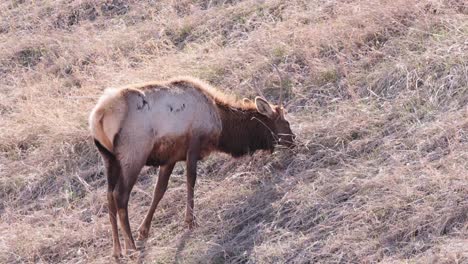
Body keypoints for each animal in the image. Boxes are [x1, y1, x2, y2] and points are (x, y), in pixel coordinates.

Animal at [88, 76, 294, 256]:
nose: (293, 140)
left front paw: (144, 230)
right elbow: (191, 179)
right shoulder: (194, 143)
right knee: (120, 196)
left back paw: (116, 252)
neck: (222, 126)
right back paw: (130, 248)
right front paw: (189, 221)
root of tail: (99, 116)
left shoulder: (170, 157)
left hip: (109, 159)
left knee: (109, 197)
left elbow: (159, 190)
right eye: (285, 121)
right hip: (134, 153)